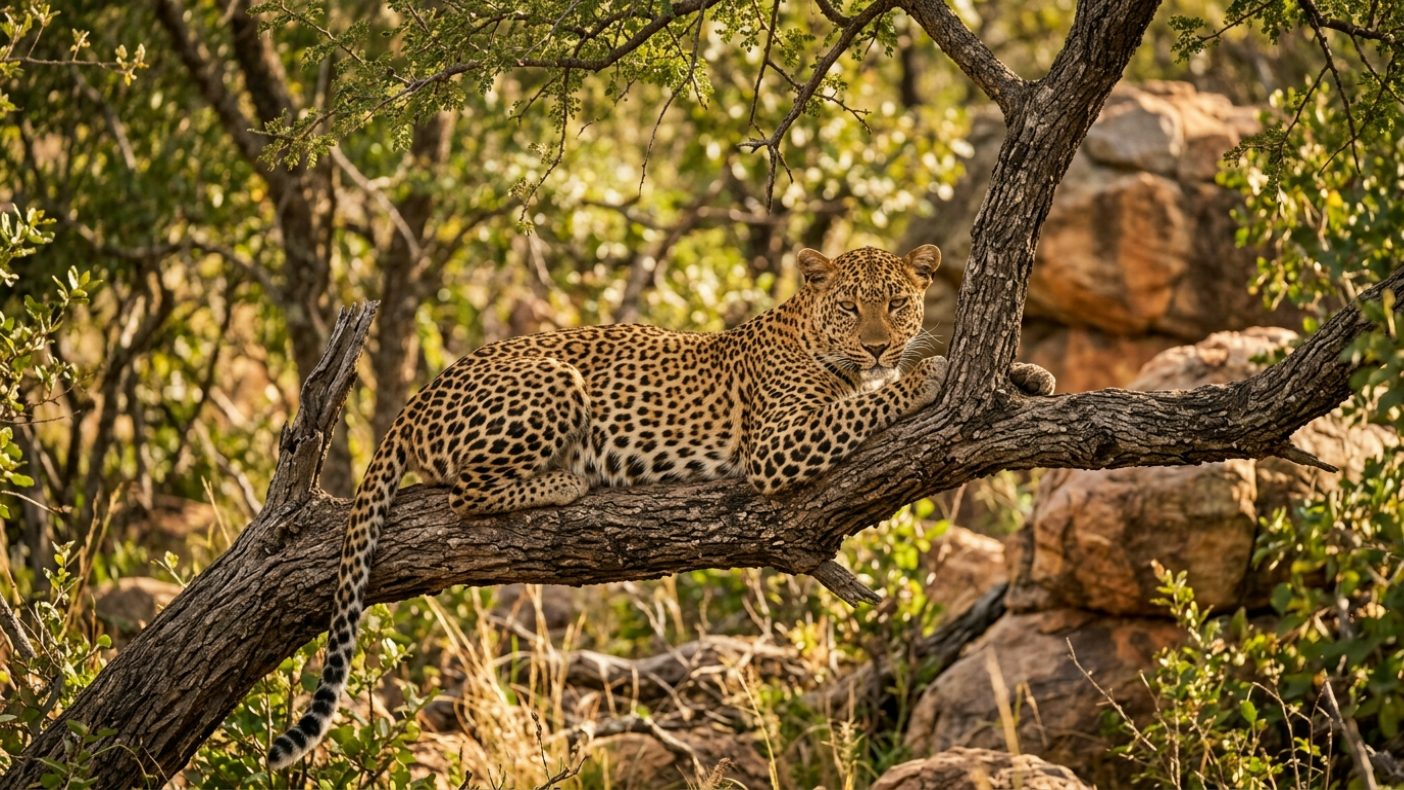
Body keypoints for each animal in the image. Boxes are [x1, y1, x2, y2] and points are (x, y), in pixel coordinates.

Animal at [266, 243, 1056, 769]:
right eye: (849, 306)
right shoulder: (779, 444)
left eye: (894, 302)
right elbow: (878, 398)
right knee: (466, 493)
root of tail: (418, 397)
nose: (879, 344)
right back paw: (570, 480)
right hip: (554, 382)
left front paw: (1028, 373)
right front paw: (932, 371)